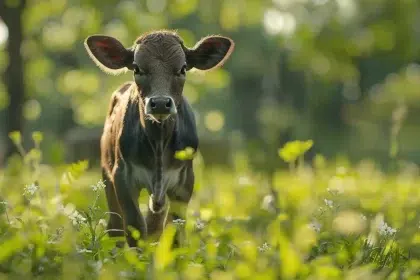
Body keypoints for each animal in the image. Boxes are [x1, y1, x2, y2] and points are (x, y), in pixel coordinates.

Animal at [83, 29, 235, 246]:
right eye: (137, 68)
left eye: (182, 68)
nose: (161, 103)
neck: (158, 143)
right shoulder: (123, 177)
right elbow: (135, 227)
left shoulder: (184, 181)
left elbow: (173, 232)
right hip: (107, 173)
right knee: (115, 226)